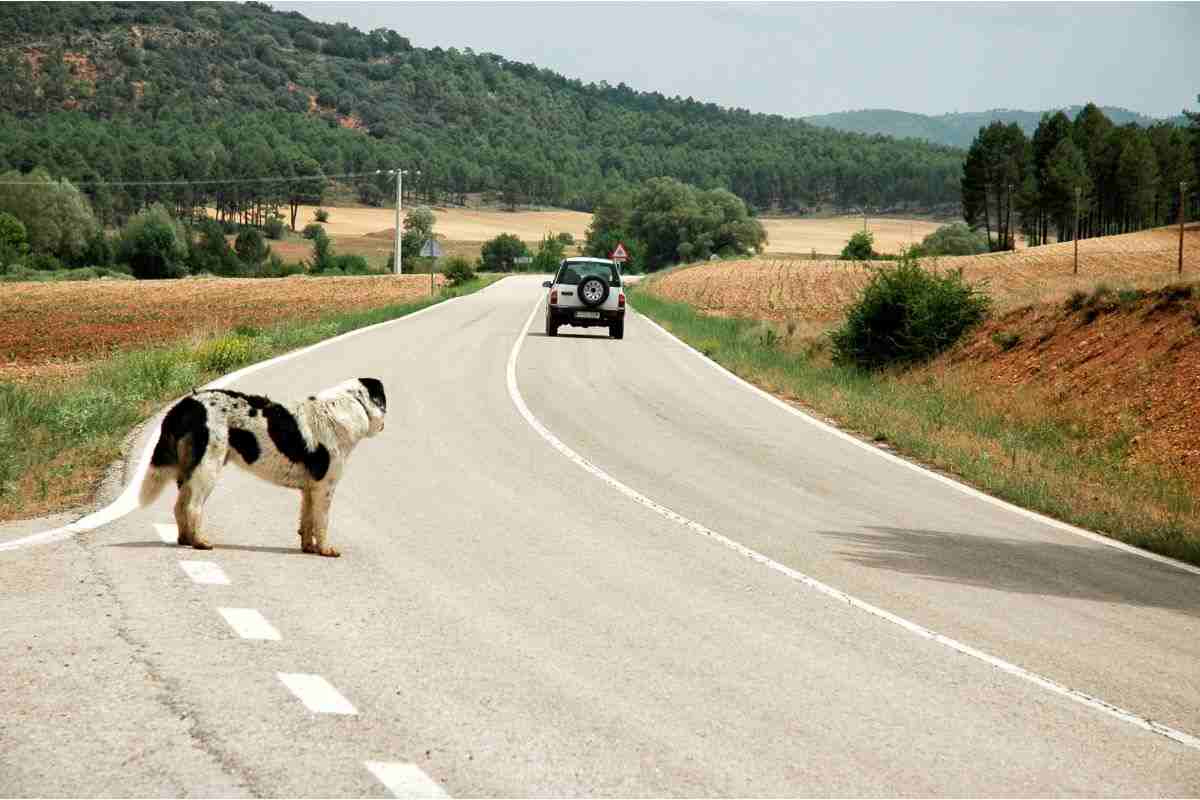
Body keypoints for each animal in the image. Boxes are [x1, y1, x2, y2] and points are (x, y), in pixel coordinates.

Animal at [138, 376, 386, 556]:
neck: (354, 406)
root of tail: (186, 404)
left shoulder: (309, 490)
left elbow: (307, 521)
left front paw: (309, 548)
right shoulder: (325, 487)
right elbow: (321, 522)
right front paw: (325, 550)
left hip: (192, 471)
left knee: (179, 506)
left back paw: (185, 539)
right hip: (208, 468)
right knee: (193, 507)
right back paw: (200, 542)